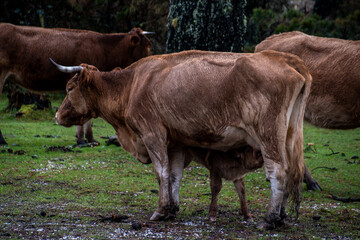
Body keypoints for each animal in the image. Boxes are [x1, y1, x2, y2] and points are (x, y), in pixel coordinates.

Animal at [52, 49, 310, 230]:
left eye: (69, 88)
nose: (57, 115)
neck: (132, 84)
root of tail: (284, 58)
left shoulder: (152, 133)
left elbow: (162, 172)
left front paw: (161, 210)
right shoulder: (175, 142)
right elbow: (175, 174)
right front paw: (172, 209)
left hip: (268, 134)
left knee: (278, 172)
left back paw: (270, 219)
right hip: (289, 134)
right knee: (291, 171)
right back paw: (282, 216)